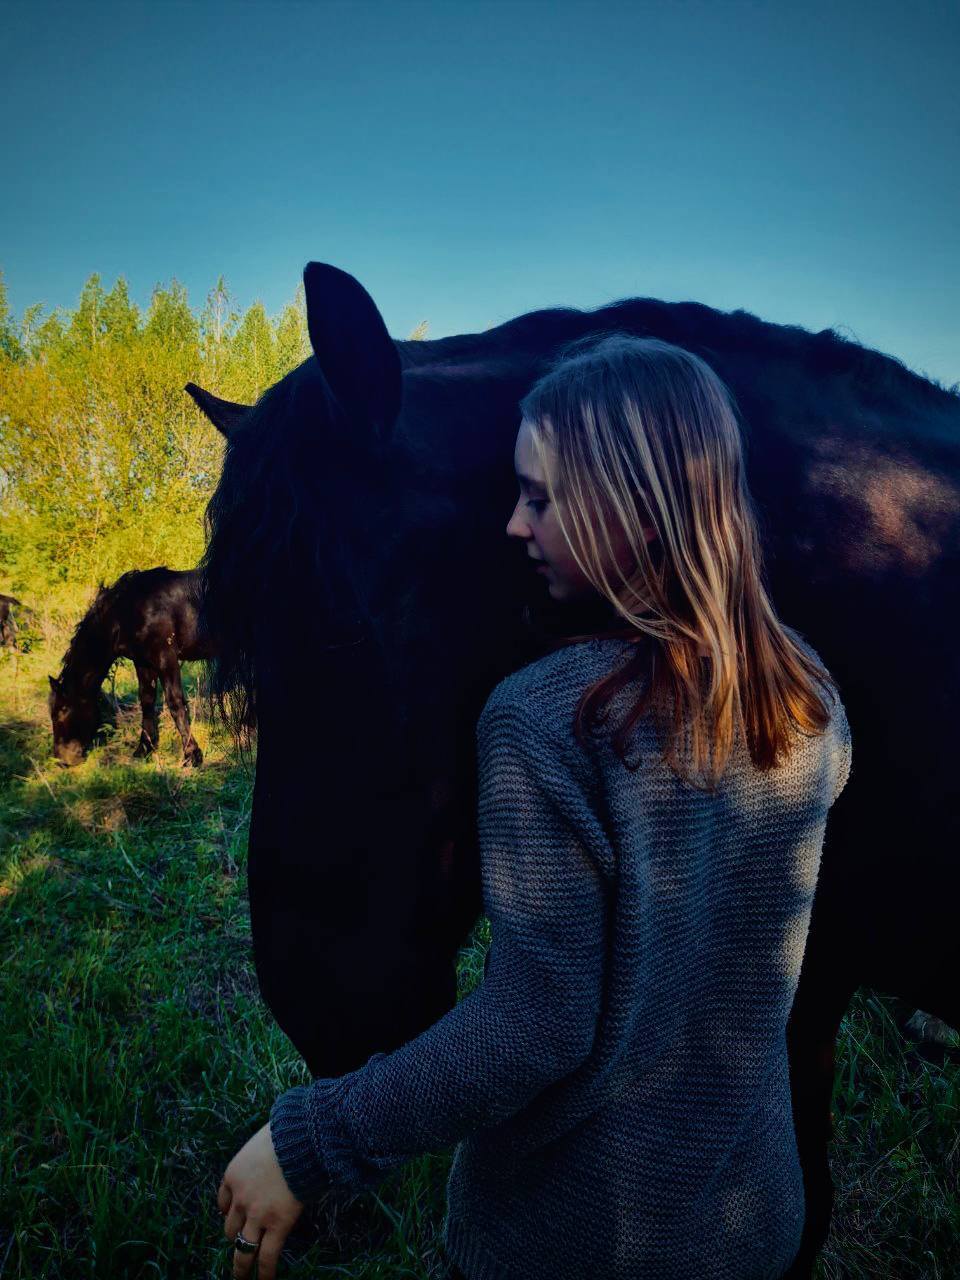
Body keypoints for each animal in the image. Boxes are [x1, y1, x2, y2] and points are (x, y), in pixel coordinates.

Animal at [48, 567, 216, 767]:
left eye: (61, 711)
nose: (61, 760)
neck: (127, 611)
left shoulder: (166, 658)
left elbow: (175, 703)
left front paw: (191, 754)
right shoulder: (142, 662)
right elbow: (147, 700)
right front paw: (144, 748)